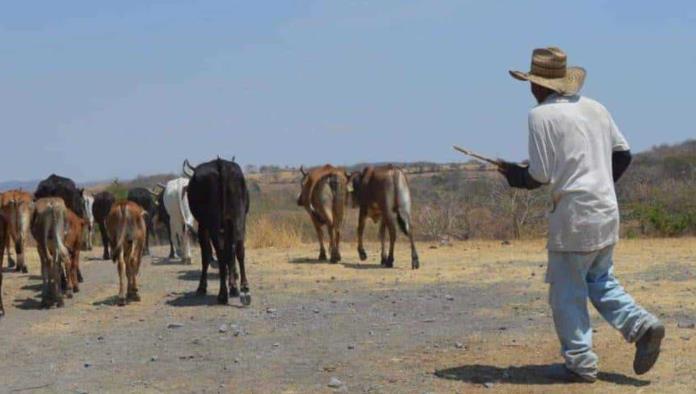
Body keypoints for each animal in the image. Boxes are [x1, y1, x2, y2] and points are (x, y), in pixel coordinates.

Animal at [184, 157, 251, 304]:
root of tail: (220, 164)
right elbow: (230, 253)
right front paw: (233, 286)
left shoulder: (203, 226)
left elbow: (206, 254)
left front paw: (201, 287)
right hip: (238, 218)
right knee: (238, 249)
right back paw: (244, 290)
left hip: (213, 223)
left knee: (220, 253)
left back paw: (222, 294)